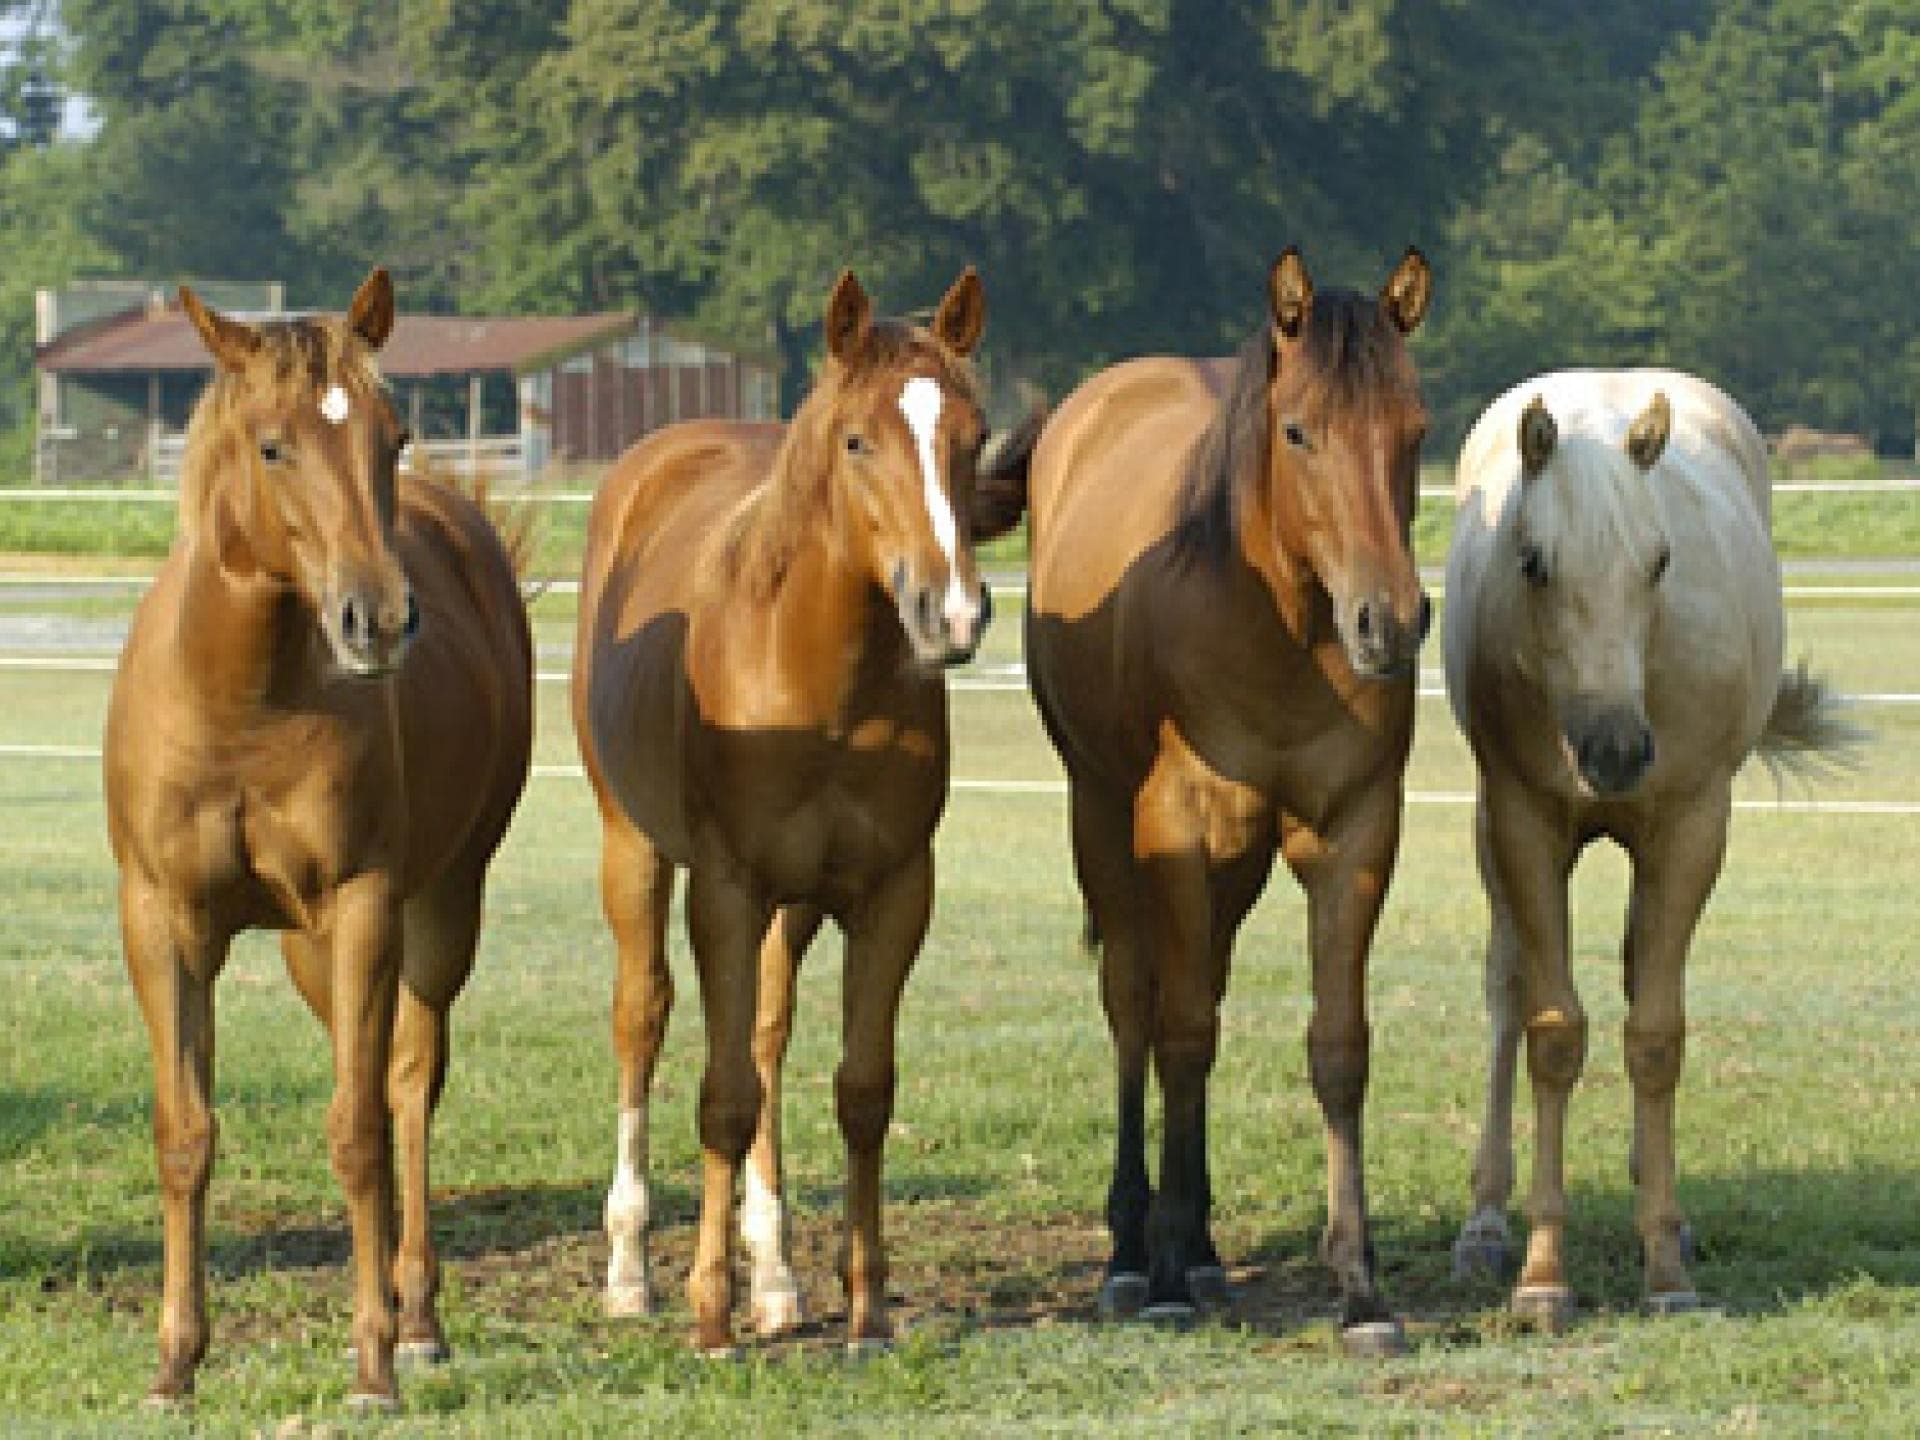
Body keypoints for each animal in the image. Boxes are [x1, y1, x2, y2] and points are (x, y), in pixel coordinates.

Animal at [103, 269, 534, 1408]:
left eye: (394, 435)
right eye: (272, 447)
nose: (376, 620)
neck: (242, 707)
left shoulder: (367, 904)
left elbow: (360, 1129)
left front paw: (375, 1363)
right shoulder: (162, 922)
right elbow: (185, 1132)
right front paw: (175, 1365)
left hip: (436, 914)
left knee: (407, 1087)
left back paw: (416, 1317)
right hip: (307, 948)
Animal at [573, 266, 1037, 1354]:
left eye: (972, 435)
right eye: (858, 441)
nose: (953, 614)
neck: (818, 682)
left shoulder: (893, 892)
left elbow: (859, 1092)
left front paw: (864, 1309)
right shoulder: (726, 892)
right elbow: (722, 1097)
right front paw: (708, 1313)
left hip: (793, 905)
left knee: (768, 1036)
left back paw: (778, 1279)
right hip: (635, 851)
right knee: (642, 1019)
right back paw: (630, 1271)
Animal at [1016, 247, 1434, 1354]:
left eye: (1416, 427)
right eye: (1298, 431)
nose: (1389, 623)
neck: (1273, 620)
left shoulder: (1355, 831)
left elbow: (1338, 1049)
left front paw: (1362, 1290)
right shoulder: (1178, 826)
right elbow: (1181, 1031)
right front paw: (1157, 1274)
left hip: (1238, 863)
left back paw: (1198, 1246)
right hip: (1103, 816)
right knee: (1135, 1002)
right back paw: (1135, 1251)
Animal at [1443, 369, 1855, 1326]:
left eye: (1660, 562)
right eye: (1532, 559)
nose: (1616, 752)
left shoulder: (1689, 831)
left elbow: (1656, 1035)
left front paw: (1665, 1264)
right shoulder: (1523, 826)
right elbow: (1552, 1033)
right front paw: (1542, 1275)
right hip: (1495, 843)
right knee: (1505, 992)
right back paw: (1485, 1222)